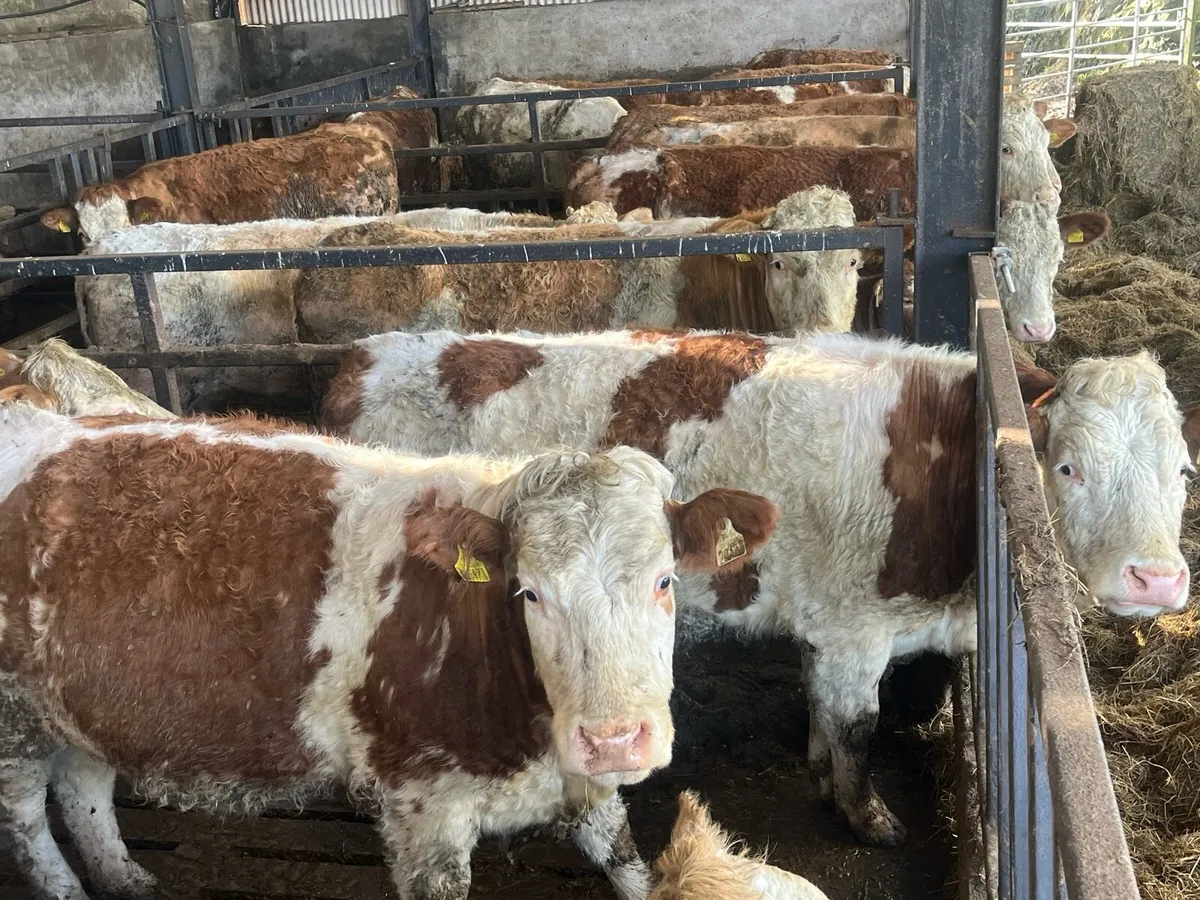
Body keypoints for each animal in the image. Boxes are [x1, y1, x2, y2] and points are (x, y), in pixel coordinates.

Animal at [0, 404, 779, 900]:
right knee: (28, 815)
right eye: (528, 592)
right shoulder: (421, 805)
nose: (615, 739)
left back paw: (123, 876)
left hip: (82, 701)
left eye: (665, 579)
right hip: (14, 718)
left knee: (84, 783)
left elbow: (629, 863)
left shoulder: (582, 783)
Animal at [320, 329, 1200, 847]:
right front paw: (866, 815)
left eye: (1184, 471)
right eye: (1068, 467)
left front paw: (819, 773)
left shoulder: (829, 623)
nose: (1155, 579)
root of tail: (370, 352)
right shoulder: (857, 629)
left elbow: (822, 710)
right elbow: (858, 728)